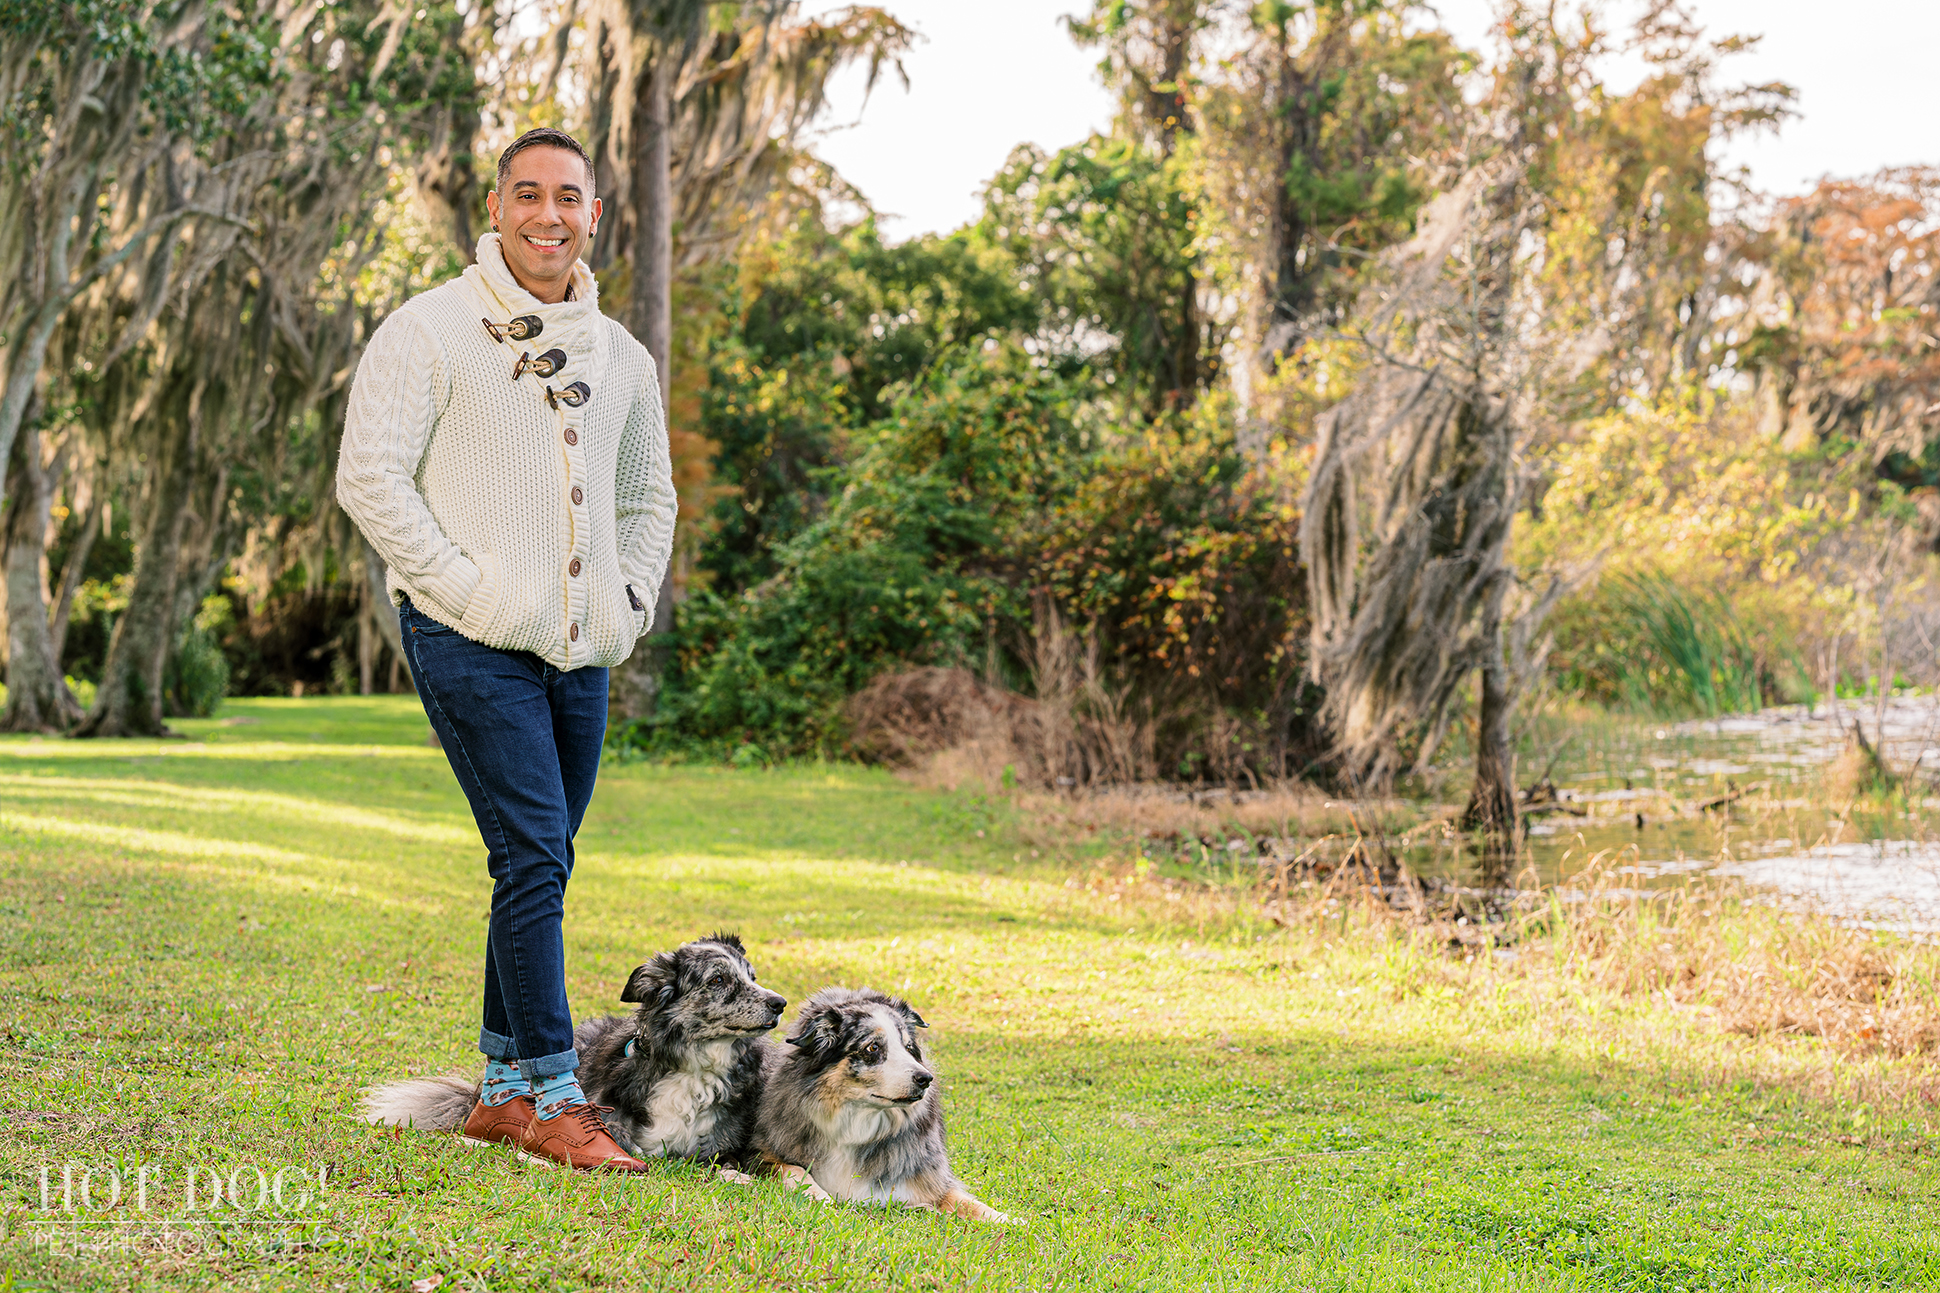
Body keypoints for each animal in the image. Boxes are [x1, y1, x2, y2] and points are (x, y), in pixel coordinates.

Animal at [744, 986, 1016, 1219]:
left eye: (908, 1047)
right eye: (873, 1047)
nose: (925, 1079)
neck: (856, 1122)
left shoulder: (926, 1178)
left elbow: (969, 1203)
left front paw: (1009, 1221)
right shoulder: (760, 1153)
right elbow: (792, 1169)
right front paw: (818, 1195)